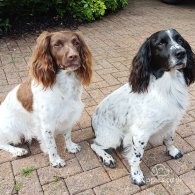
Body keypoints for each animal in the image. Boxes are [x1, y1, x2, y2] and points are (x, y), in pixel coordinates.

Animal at [0, 31, 92, 167]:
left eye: (76, 43)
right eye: (57, 44)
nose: (74, 56)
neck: (65, 83)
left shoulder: (68, 115)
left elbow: (67, 134)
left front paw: (70, 147)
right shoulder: (47, 123)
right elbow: (52, 145)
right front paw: (55, 160)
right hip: (11, 128)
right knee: (2, 142)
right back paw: (18, 150)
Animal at [91, 29, 195, 186]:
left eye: (180, 40)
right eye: (160, 43)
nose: (181, 53)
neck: (166, 86)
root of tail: (93, 119)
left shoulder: (171, 122)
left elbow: (169, 139)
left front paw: (172, 151)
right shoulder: (140, 133)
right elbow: (137, 157)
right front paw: (137, 175)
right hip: (112, 137)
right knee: (94, 145)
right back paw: (107, 158)